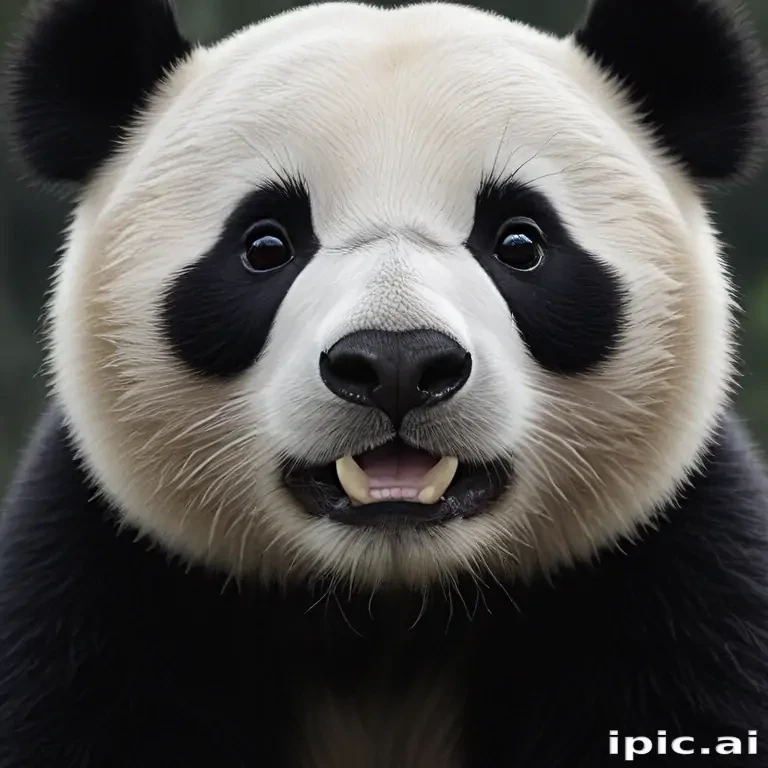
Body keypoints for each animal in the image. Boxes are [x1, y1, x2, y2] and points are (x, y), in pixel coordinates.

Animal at [2, 0, 768, 764]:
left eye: (520, 242)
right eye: (265, 244)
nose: (397, 362)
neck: (386, 620)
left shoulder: (683, 578)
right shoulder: (96, 589)